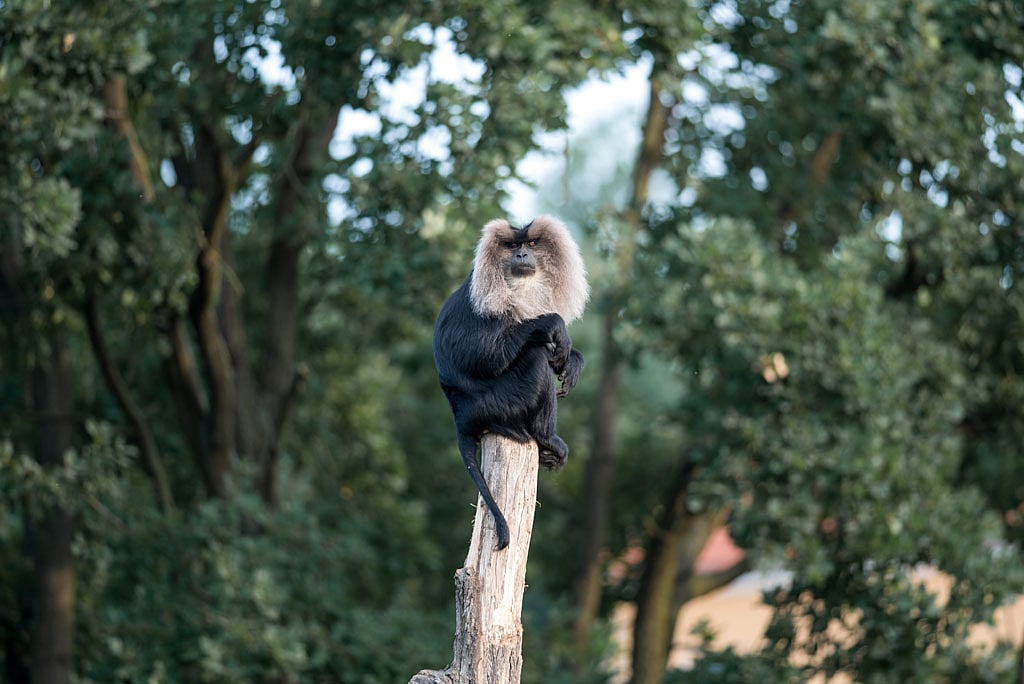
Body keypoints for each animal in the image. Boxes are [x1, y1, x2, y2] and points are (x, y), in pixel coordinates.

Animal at [433, 215, 589, 550]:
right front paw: (556, 326)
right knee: (534, 355)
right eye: (512, 245)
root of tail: (462, 418)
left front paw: (571, 359)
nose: (521, 254)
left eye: (530, 243)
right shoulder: (481, 300)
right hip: (505, 403)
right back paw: (547, 438)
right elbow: (482, 355)